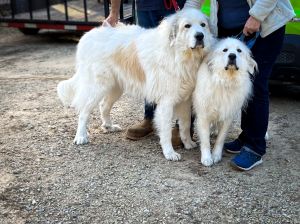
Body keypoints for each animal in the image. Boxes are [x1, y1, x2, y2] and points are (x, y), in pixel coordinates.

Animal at [56, 7, 213, 160]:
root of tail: (88, 35)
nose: (200, 36)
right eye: (187, 26)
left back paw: (109, 126)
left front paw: (188, 143)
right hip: (97, 87)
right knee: (84, 111)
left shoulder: (185, 100)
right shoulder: (166, 102)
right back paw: (81, 137)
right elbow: (166, 131)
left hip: (115, 87)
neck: (178, 53)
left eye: (203, 25)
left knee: (103, 106)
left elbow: (185, 125)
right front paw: (169, 153)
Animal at [193, 37, 256, 166]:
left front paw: (216, 155)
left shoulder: (228, 116)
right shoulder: (203, 115)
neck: (225, 81)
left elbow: (220, 139)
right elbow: (205, 140)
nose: (232, 56)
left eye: (239, 50)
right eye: (225, 50)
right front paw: (207, 158)